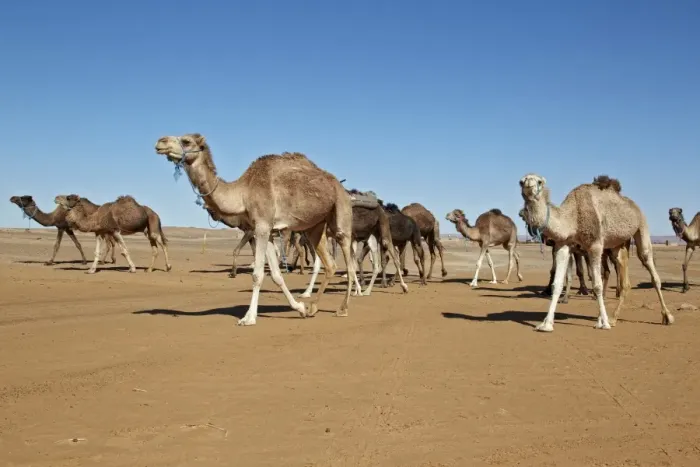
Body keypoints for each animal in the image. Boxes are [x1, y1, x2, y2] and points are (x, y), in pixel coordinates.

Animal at [155, 134, 357, 326]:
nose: (160, 142)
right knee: (330, 264)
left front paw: (249, 317)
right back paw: (313, 307)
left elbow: (257, 274)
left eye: (186, 141)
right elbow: (275, 275)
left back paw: (343, 308)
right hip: (315, 226)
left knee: (349, 260)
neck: (243, 193)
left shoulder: (261, 227)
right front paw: (300, 308)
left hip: (340, 211)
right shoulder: (267, 231)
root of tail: (338, 184)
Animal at [520, 173, 672, 332]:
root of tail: (634, 205)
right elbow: (557, 283)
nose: (529, 186)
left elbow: (597, 285)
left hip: (641, 225)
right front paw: (547, 324)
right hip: (616, 245)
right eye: (521, 181)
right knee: (624, 277)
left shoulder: (595, 246)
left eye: (539, 181)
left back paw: (666, 316)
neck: (573, 217)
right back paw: (611, 317)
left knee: (649, 265)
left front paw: (604, 324)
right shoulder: (563, 245)